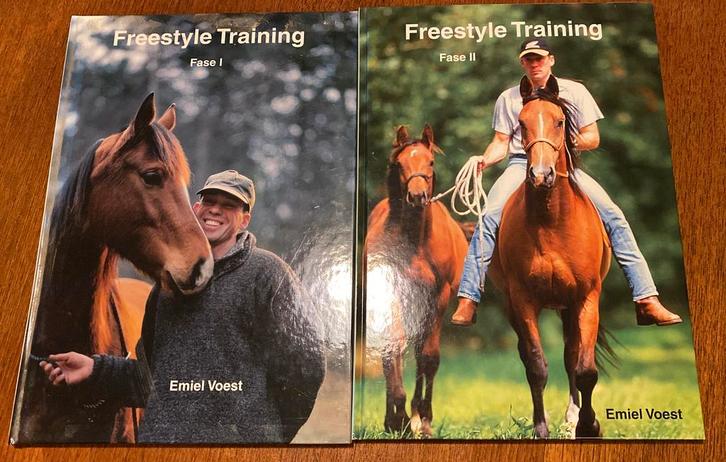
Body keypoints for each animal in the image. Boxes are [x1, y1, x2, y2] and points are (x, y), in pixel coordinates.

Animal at [364, 125, 468, 437]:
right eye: (400, 164)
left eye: (430, 162)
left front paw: (422, 419)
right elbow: (393, 349)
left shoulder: (438, 296)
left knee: (422, 353)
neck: (416, 242)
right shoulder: (392, 295)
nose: (417, 196)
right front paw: (398, 418)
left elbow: (429, 357)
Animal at [489, 78, 614, 438]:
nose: (541, 175)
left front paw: (588, 426)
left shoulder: (587, 297)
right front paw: (540, 428)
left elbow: (585, 369)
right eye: (521, 123)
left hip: (569, 307)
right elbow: (536, 367)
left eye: (560, 122)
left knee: (572, 355)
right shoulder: (523, 300)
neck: (552, 221)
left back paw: (573, 419)